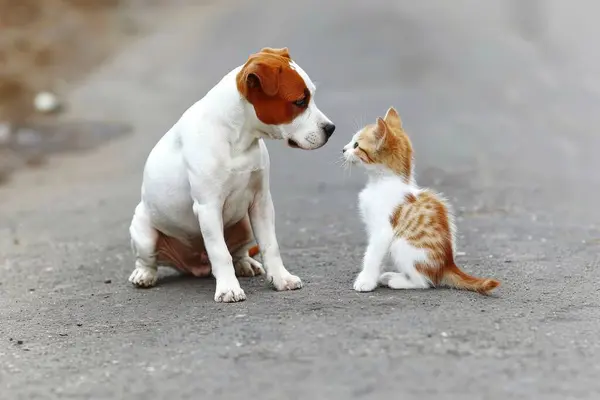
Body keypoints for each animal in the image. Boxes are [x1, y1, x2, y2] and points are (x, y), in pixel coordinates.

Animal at [128, 47, 336, 304]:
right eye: (299, 102)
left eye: (311, 97)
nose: (331, 128)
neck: (240, 138)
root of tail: (194, 265)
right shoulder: (208, 207)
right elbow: (220, 252)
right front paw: (228, 288)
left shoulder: (261, 202)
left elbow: (270, 246)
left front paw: (280, 278)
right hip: (145, 233)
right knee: (148, 259)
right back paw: (144, 274)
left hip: (245, 223)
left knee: (239, 251)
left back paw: (246, 264)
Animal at [340, 108, 500, 296]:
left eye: (356, 145)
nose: (343, 149)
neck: (382, 182)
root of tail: (447, 265)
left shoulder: (383, 230)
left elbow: (372, 255)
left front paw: (365, 281)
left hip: (401, 243)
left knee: (424, 282)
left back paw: (397, 280)